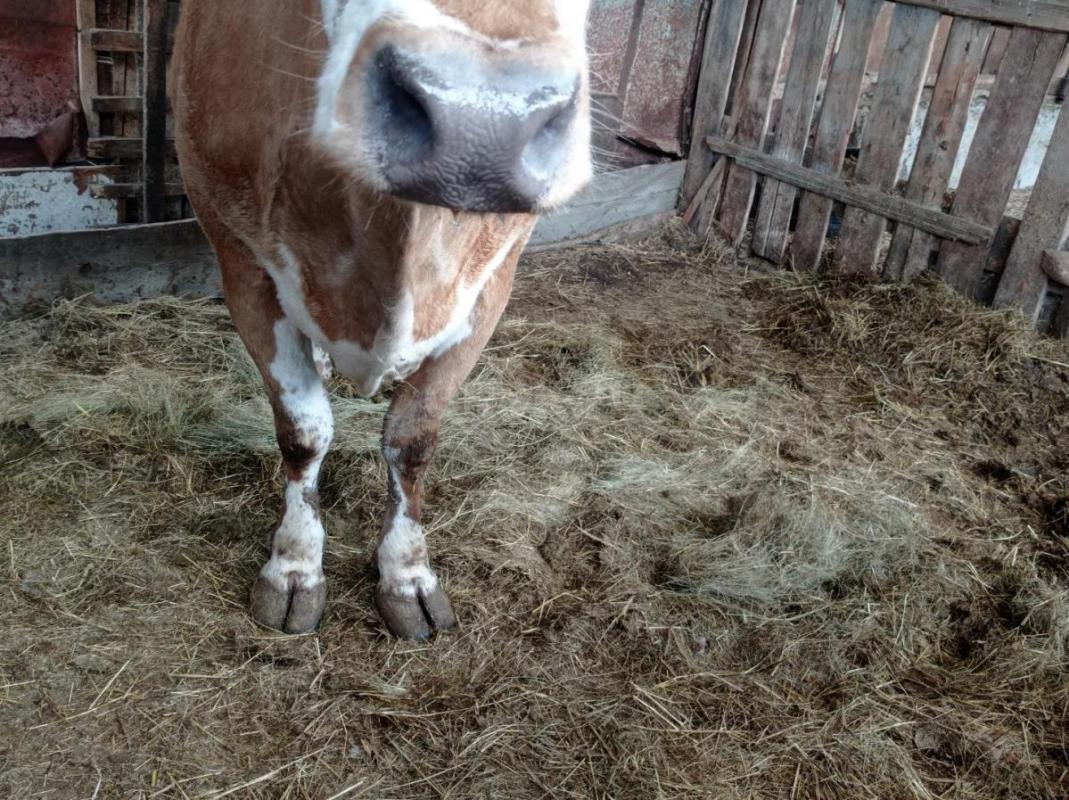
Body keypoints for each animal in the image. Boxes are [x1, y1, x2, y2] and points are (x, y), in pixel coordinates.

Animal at [171, 1, 593, 638]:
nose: (480, 122)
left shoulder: (492, 285)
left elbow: (411, 439)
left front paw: (407, 575)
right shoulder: (240, 259)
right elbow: (303, 430)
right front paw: (293, 567)